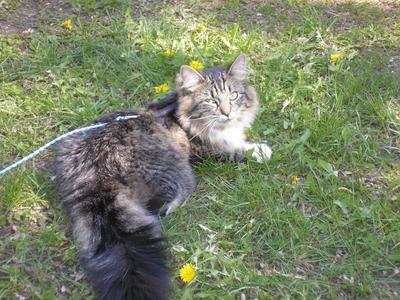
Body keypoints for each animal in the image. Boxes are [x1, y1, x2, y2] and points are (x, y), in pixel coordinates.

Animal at [54, 54, 272, 300]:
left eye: (233, 96)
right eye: (211, 101)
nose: (227, 113)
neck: (180, 113)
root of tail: (96, 168)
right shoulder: (209, 149)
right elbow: (238, 150)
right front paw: (261, 150)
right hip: (180, 176)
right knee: (160, 208)